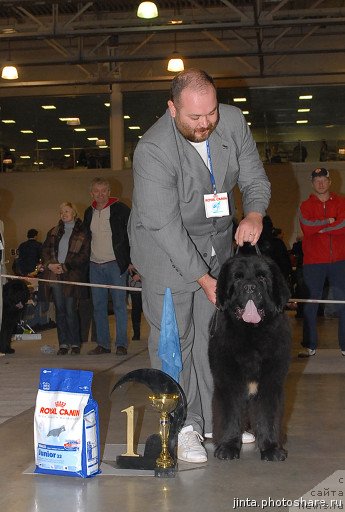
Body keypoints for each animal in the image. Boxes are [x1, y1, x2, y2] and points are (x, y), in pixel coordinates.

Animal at [207, 254, 290, 462]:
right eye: (237, 278)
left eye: (262, 278)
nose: (250, 287)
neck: (251, 335)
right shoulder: (228, 383)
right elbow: (230, 415)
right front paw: (228, 447)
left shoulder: (271, 383)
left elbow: (268, 416)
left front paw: (271, 449)